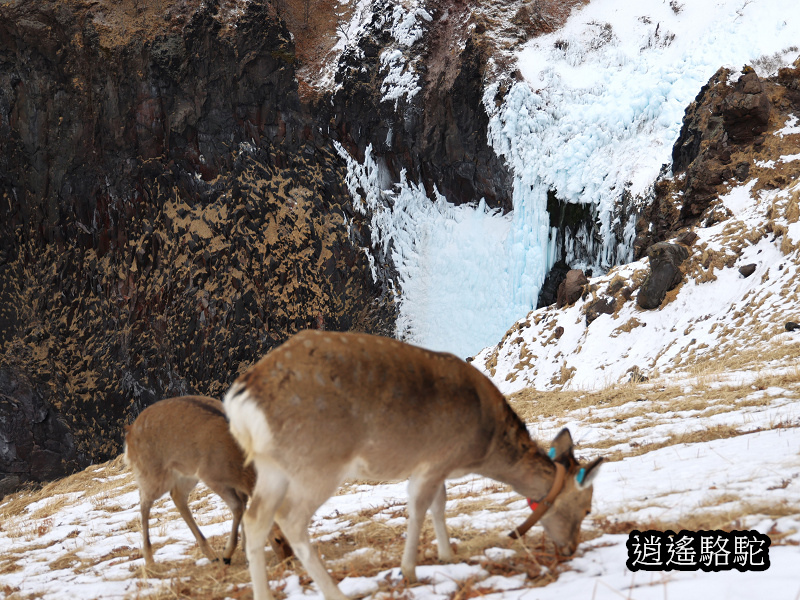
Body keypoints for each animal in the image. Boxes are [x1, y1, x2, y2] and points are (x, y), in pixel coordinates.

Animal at [123, 396, 290, 564]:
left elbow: (243, 506)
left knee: (177, 496)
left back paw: (211, 554)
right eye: (277, 539)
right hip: (153, 473)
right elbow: (237, 507)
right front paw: (227, 554)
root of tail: (129, 433)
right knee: (144, 502)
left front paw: (245, 551)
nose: (288, 561)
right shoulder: (211, 476)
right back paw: (149, 559)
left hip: (187, 473)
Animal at [223, 330, 600, 600]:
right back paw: (336, 594)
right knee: (289, 518)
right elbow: (419, 508)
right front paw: (409, 571)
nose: (570, 548)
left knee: (256, 519)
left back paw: (265, 596)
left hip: (273, 468)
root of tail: (241, 401)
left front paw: (448, 556)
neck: (483, 448)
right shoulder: (435, 460)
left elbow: (439, 505)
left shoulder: (438, 467)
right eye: (586, 508)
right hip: (317, 462)